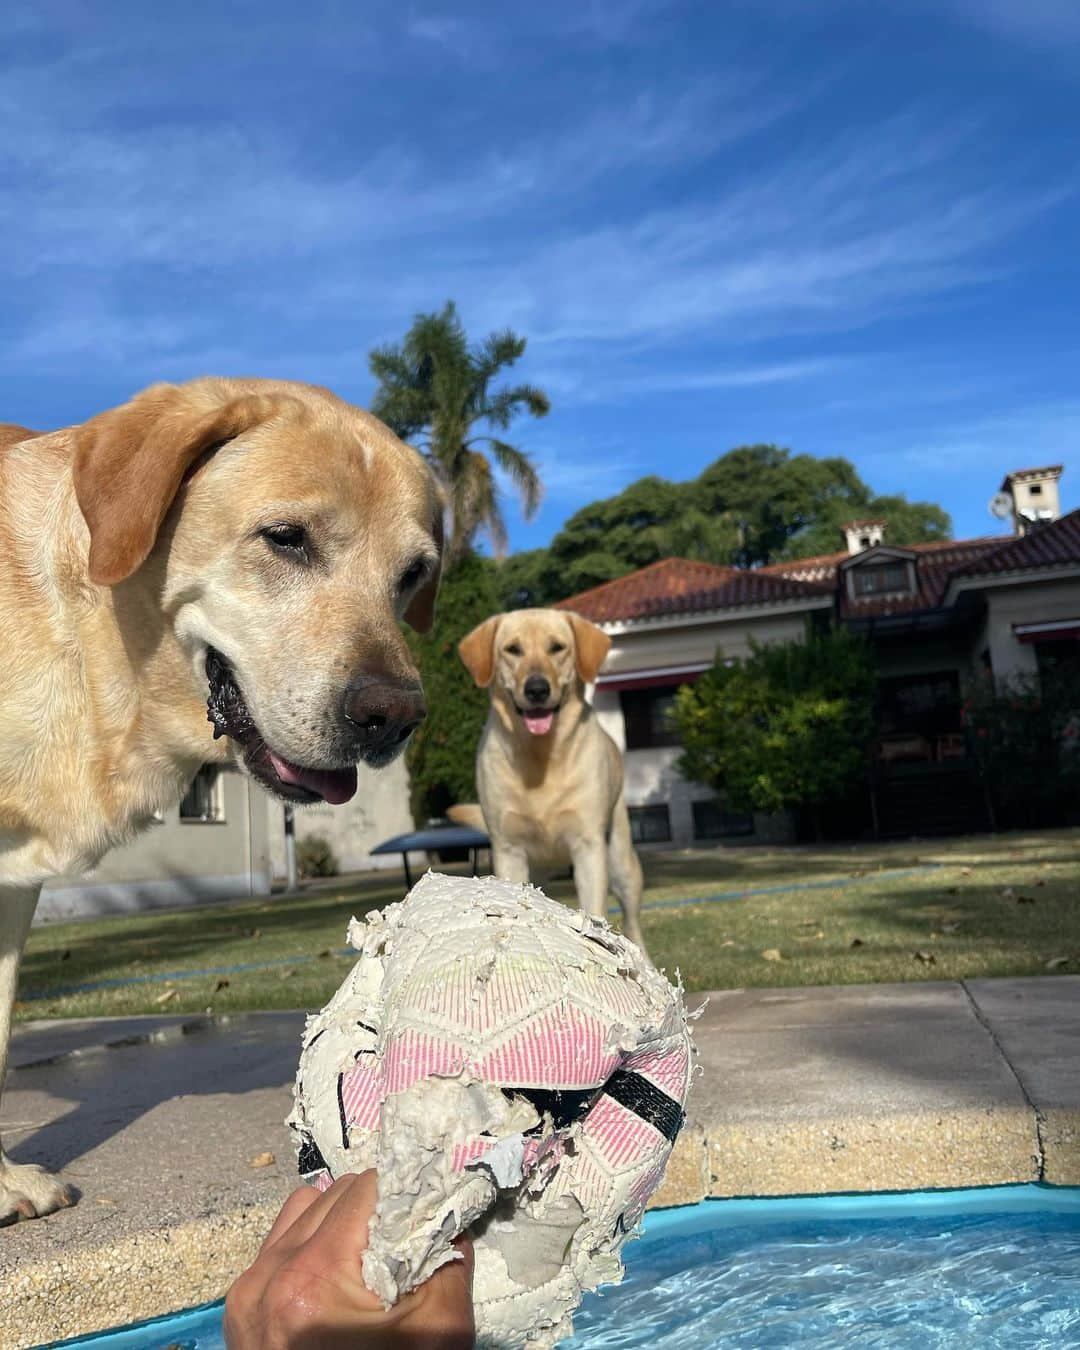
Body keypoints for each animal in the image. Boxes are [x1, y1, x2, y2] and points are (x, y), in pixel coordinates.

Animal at [450, 607, 645, 955]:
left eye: (557, 647)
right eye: (513, 649)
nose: (537, 689)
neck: (540, 756)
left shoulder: (588, 847)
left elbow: (593, 910)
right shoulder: (509, 850)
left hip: (622, 863)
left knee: (634, 924)